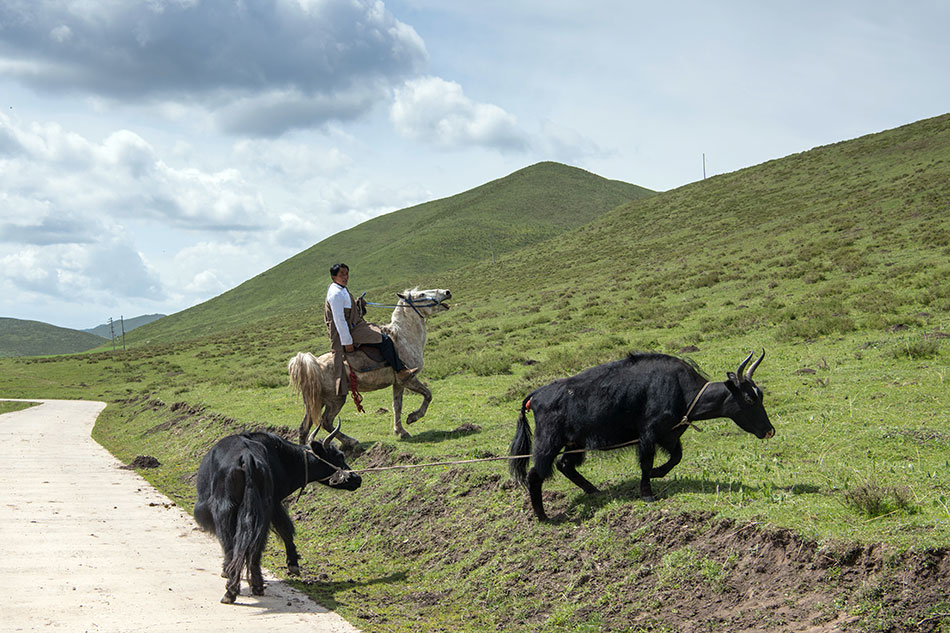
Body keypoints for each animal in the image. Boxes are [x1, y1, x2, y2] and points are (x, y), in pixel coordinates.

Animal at [288, 288, 452, 446]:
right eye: (422, 294)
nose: (447, 292)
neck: (404, 338)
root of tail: (313, 364)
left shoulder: (398, 383)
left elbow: (397, 406)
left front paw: (400, 431)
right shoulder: (408, 379)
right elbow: (428, 395)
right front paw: (413, 417)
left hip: (316, 401)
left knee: (304, 427)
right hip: (335, 399)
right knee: (326, 422)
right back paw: (351, 441)